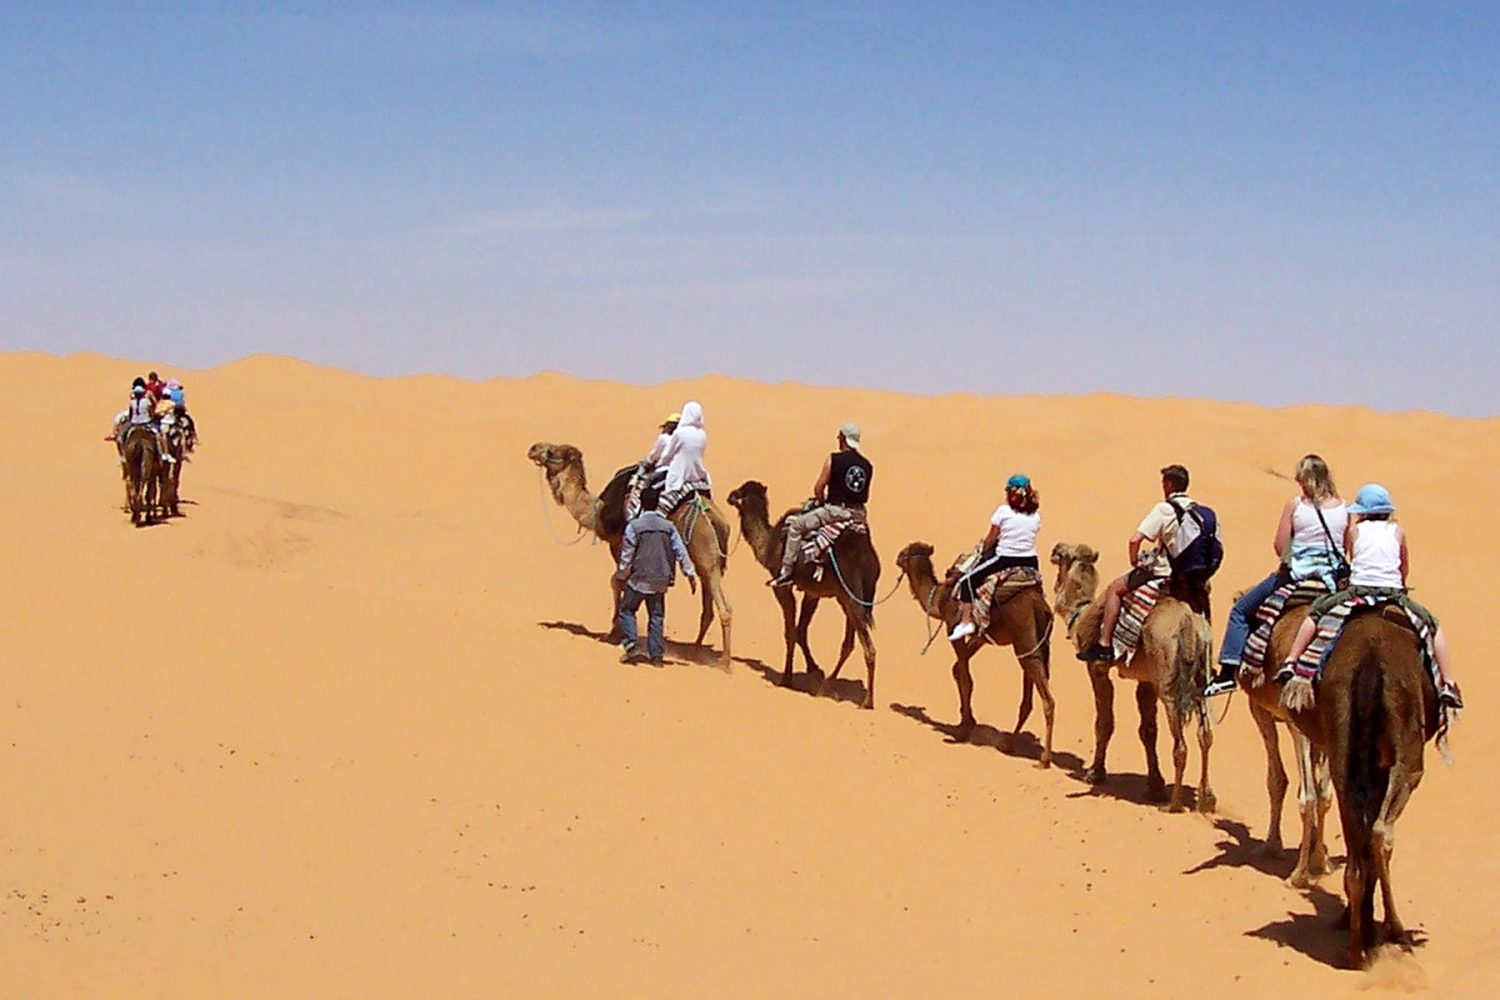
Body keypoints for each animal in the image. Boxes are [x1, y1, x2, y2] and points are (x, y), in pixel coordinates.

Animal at [531, 443, 735, 665]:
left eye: (553, 452)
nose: (533, 449)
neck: (598, 511)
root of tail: (716, 519)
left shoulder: (620, 543)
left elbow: (616, 581)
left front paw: (613, 632)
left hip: (705, 555)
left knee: (724, 608)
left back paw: (724, 662)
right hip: (710, 560)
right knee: (709, 608)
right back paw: (695, 651)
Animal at [726, 479, 876, 707]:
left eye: (740, 491)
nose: (729, 496)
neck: (768, 544)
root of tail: (865, 554)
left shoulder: (781, 586)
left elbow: (790, 631)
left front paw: (786, 678)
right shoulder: (812, 591)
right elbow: (801, 631)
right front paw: (814, 669)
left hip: (850, 594)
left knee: (868, 647)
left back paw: (865, 700)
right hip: (850, 597)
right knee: (849, 643)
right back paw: (828, 685)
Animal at [894, 542, 1062, 773]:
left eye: (906, 552)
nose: (896, 558)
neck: (940, 597)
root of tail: (1041, 606)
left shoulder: (953, 625)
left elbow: (965, 677)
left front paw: (964, 729)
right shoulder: (980, 635)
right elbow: (958, 669)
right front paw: (967, 720)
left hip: (1026, 640)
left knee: (1048, 699)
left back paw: (1044, 759)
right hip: (1036, 645)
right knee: (1028, 697)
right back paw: (1009, 744)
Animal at [1050, 548, 1212, 815]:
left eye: (1063, 554)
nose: (1054, 550)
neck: (1081, 613)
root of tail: (1188, 622)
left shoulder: (1097, 668)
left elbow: (1104, 722)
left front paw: (1094, 773)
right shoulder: (1146, 682)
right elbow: (1148, 730)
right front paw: (1155, 785)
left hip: (1168, 683)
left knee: (1181, 745)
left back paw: (1174, 804)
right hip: (1201, 678)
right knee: (1205, 735)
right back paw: (1207, 798)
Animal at [1320, 605, 1434, 965]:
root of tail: (1369, 660)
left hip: (1342, 746)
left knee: (1358, 839)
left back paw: (1357, 945)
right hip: (1406, 758)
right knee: (1382, 832)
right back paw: (1395, 929)